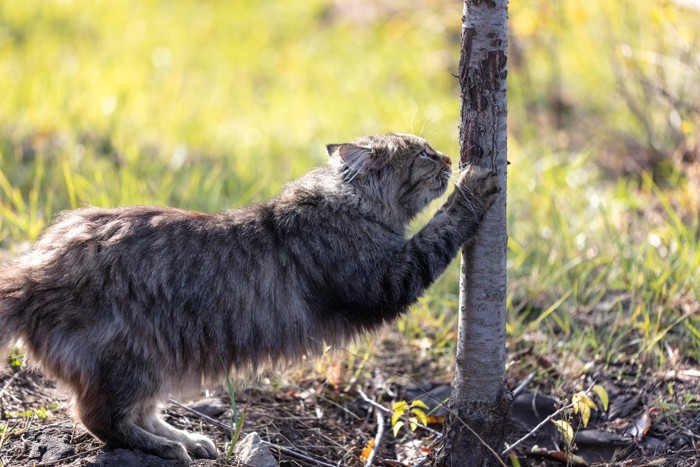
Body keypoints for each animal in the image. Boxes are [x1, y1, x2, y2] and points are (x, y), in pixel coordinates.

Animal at [0, 133, 498, 466]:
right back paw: (169, 447)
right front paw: (474, 184)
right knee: (98, 419)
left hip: (153, 365)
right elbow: (439, 231)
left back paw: (189, 439)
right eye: (424, 154)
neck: (344, 204)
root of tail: (35, 268)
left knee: (139, 413)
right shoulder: (387, 279)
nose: (449, 155)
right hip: (128, 359)